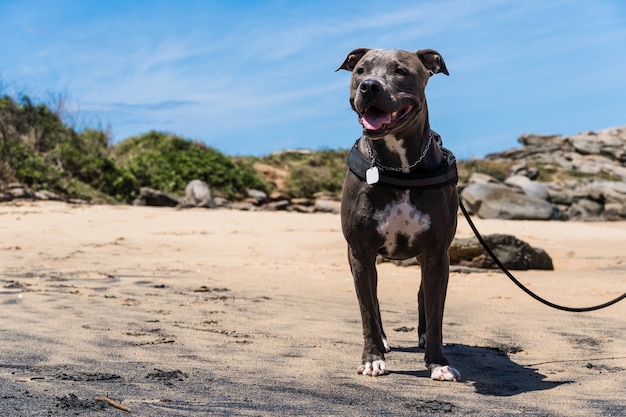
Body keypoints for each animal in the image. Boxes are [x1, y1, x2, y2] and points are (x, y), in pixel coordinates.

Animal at [336, 48, 458, 380]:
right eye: (360, 71)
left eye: (400, 71)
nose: (369, 86)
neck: (400, 166)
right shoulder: (360, 252)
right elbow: (367, 309)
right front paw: (372, 358)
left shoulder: (437, 253)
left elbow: (437, 311)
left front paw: (438, 362)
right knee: (374, 298)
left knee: (423, 295)